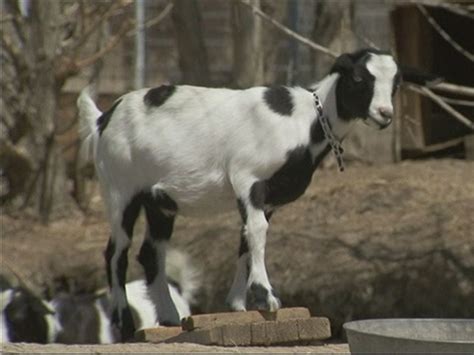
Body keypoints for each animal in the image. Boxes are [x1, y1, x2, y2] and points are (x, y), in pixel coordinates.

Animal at [78, 48, 400, 342]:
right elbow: (257, 231)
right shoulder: (249, 178)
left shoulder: (268, 197)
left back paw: (169, 317)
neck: (303, 122)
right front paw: (266, 297)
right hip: (119, 188)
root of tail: (103, 118)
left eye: (396, 82)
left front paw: (237, 304)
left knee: (150, 253)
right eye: (359, 77)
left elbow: (246, 239)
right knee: (116, 254)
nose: (385, 114)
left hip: (159, 202)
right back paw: (125, 324)